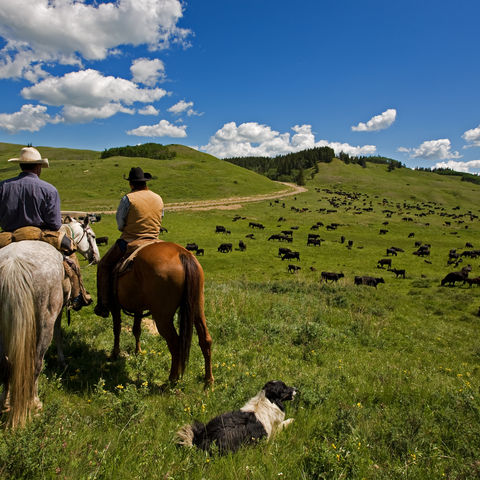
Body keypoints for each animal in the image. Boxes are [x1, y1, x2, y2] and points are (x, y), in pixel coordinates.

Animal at [111, 242, 213, 384]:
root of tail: (182, 254)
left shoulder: (115, 306)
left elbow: (117, 329)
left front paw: (115, 353)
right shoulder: (138, 308)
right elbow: (136, 329)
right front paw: (138, 351)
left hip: (162, 318)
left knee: (175, 343)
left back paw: (172, 379)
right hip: (197, 309)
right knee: (205, 340)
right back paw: (208, 380)